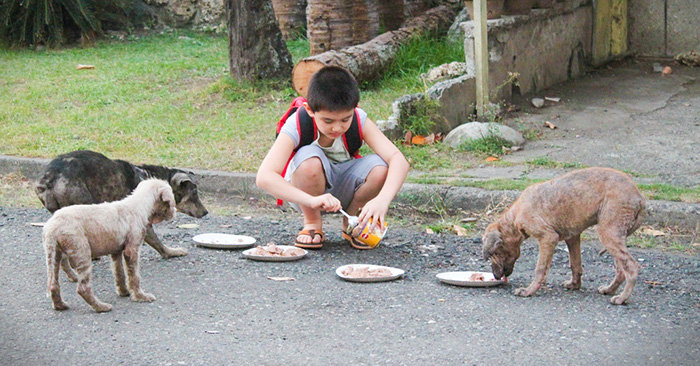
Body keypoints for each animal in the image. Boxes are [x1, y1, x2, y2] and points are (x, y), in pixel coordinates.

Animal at [484, 167, 648, 304]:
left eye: (495, 253)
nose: (496, 276)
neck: (515, 216)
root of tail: (639, 197)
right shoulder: (572, 238)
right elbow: (575, 264)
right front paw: (574, 285)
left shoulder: (548, 238)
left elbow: (540, 269)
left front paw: (529, 291)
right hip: (614, 235)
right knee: (621, 270)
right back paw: (610, 289)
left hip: (608, 231)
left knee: (632, 267)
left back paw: (622, 298)